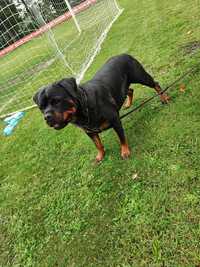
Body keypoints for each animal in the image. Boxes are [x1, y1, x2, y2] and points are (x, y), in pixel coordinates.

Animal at [33, 54, 170, 162]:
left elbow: (121, 137)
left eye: (56, 101)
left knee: (155, 84)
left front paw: (125, 151)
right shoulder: (89, 131)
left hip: (140, 76)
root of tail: (124, 54)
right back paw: (128, 103)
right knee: (130, 90)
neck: (85, 106)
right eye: (41, 107)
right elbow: (97, 144)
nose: (47, 117)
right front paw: (101, 155)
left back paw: (164, 97)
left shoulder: (115, 120)